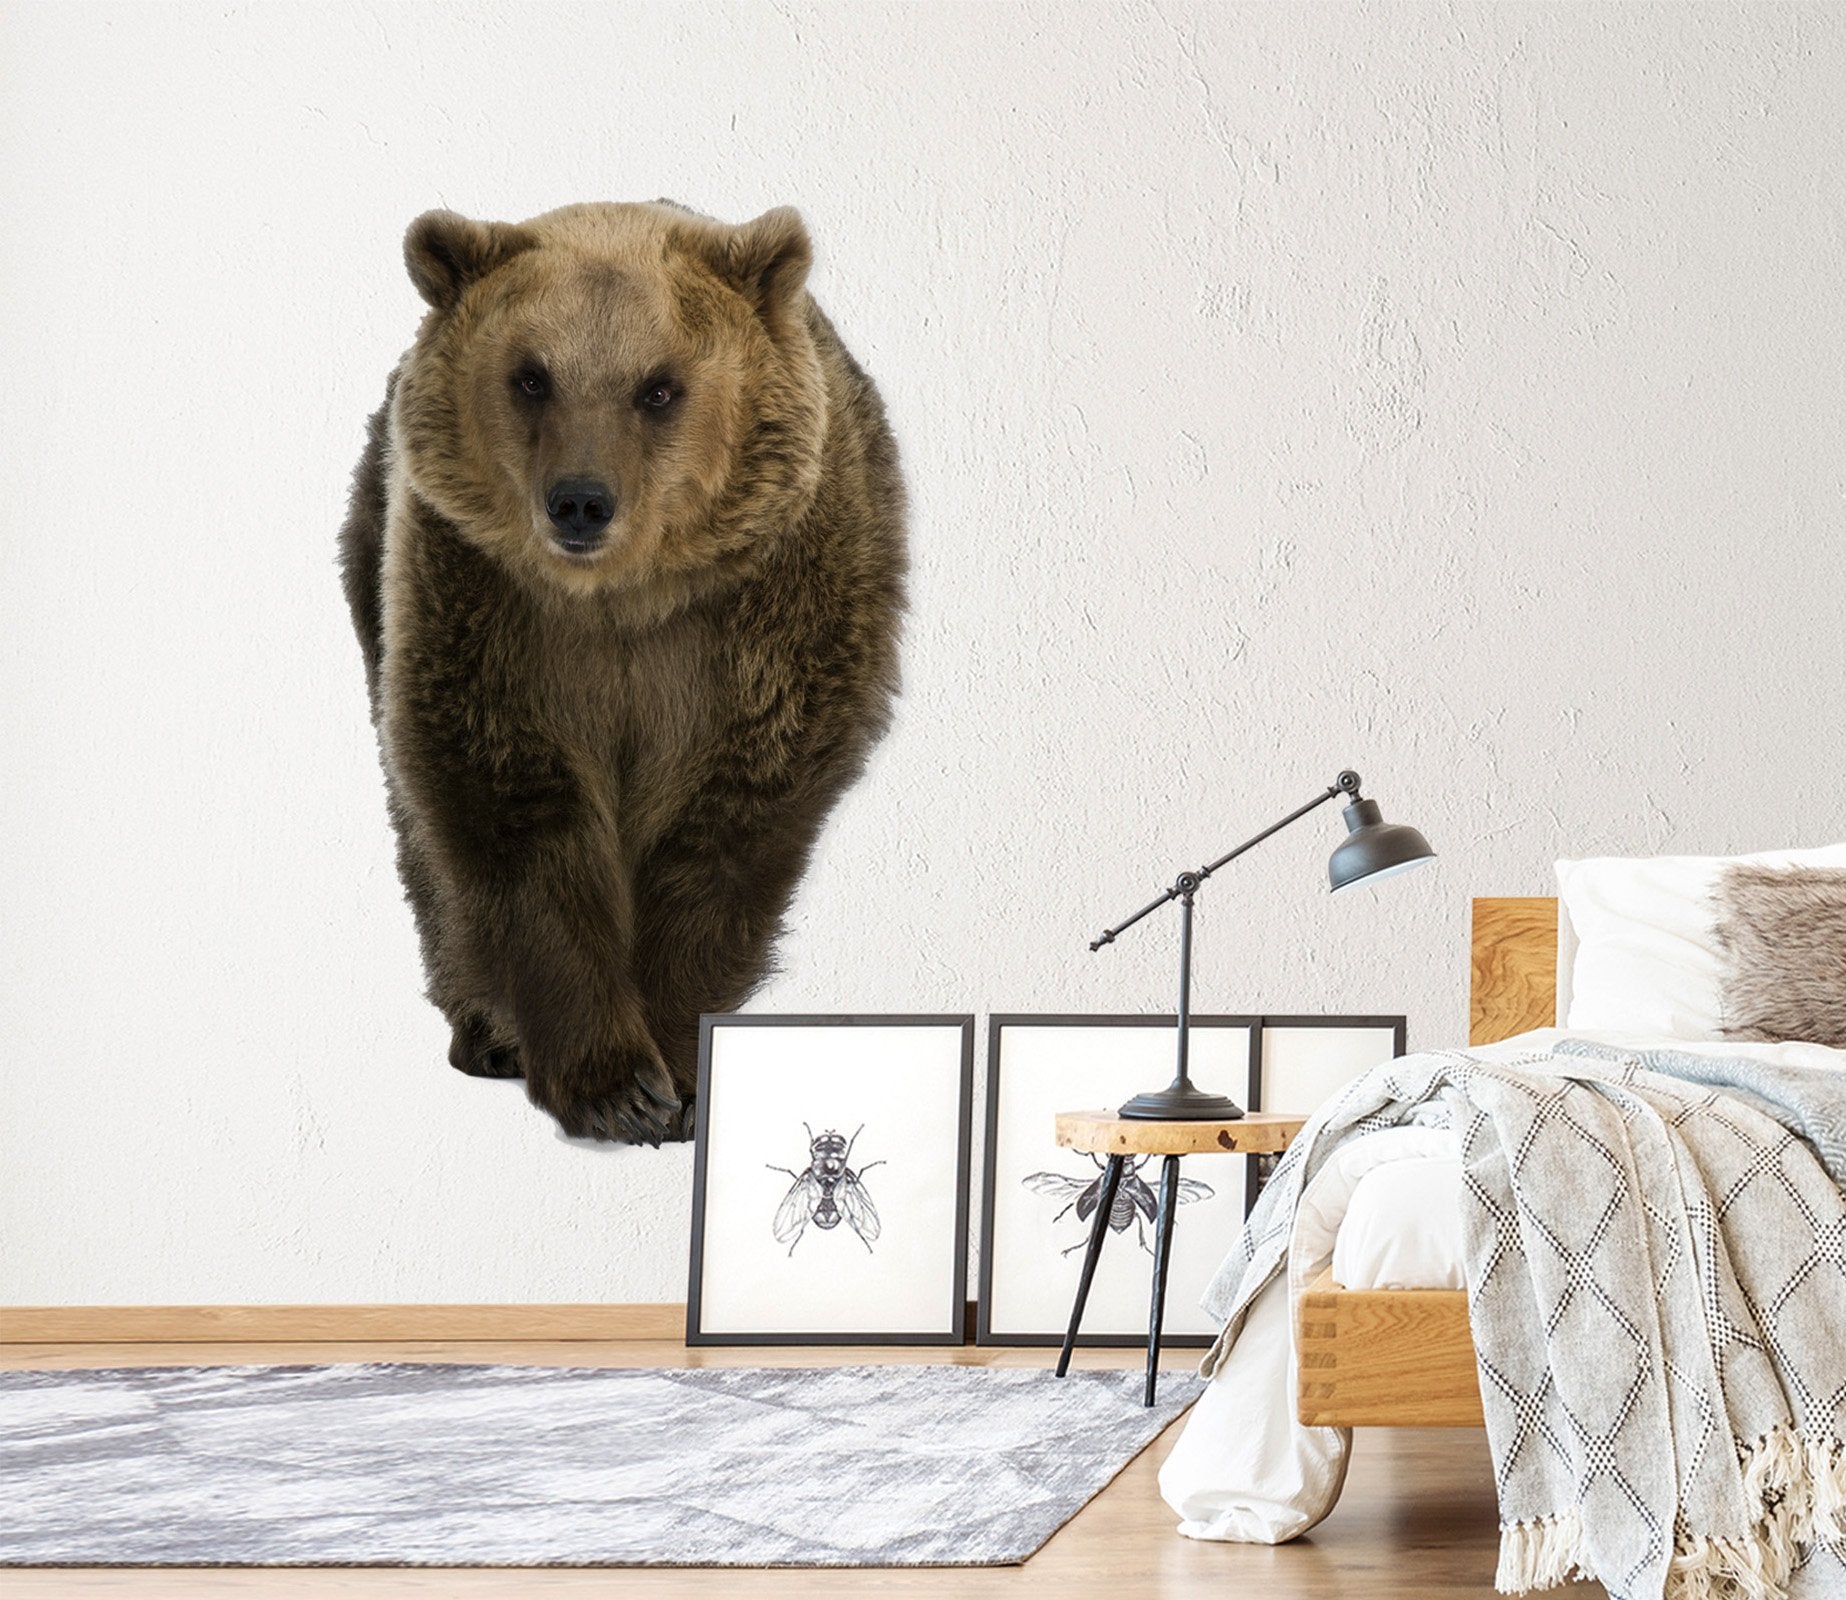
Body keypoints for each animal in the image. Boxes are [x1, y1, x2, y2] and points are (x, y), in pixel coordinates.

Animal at [338, 201, 906, 1145]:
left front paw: (678, 1074)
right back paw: (484, 1030)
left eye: (659, 387)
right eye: (531, 376)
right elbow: (513, 808)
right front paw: (611, 1083)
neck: (624, 599)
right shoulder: (485, 604)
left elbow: (727, 826)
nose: (579, 501)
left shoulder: (767, 614)